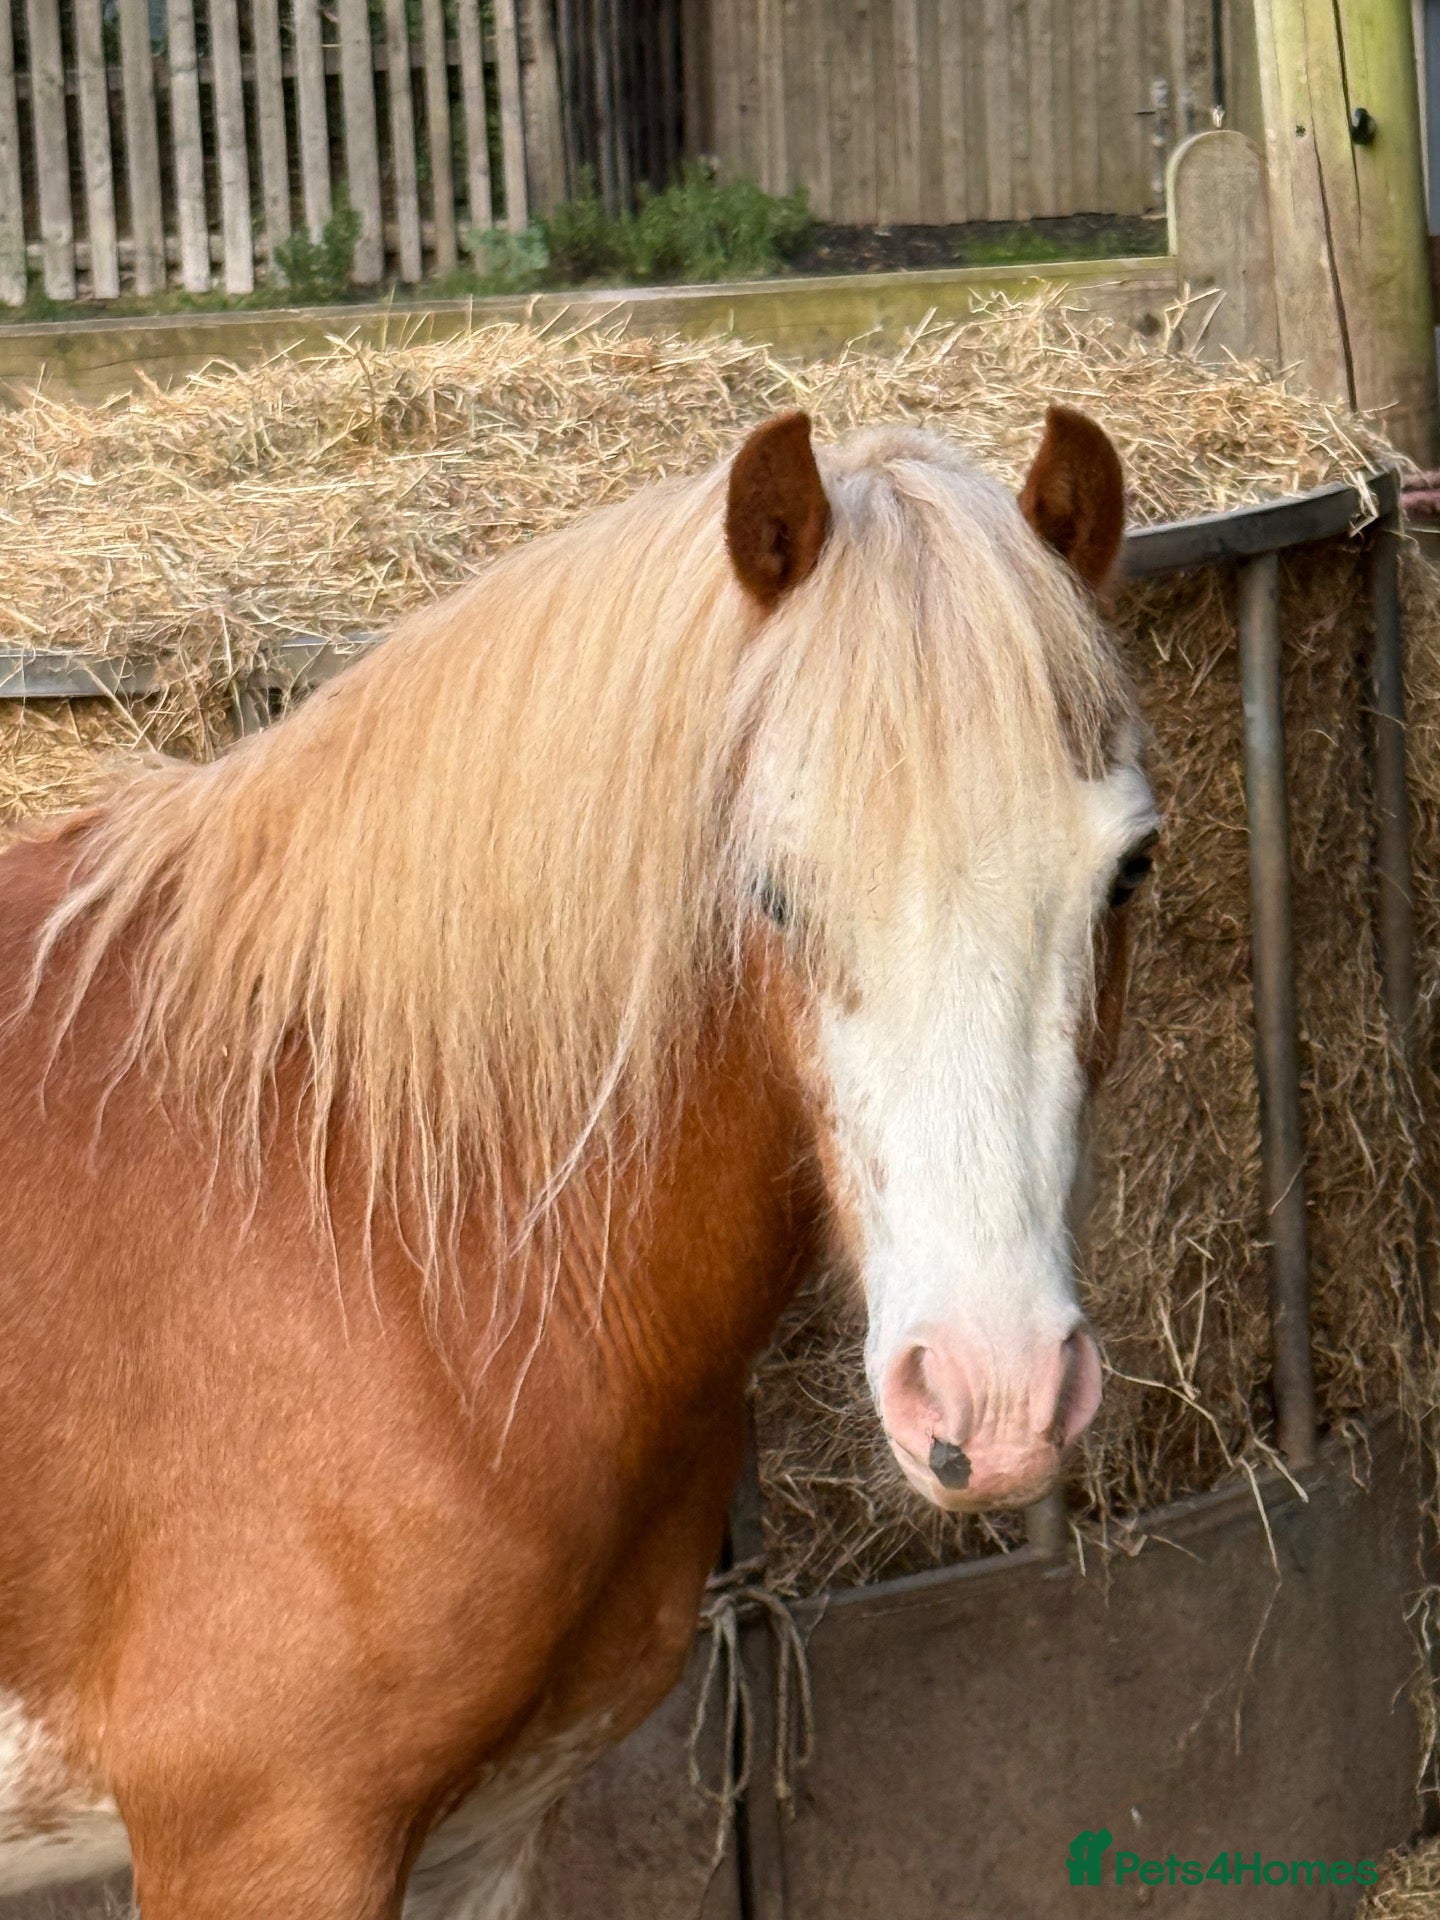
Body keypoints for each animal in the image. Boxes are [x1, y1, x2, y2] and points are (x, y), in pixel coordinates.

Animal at [0, 401, 1156, 1918]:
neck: (372, 1219)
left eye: (1129, 871)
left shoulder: (485, 1833)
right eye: (771, 891)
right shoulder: (263, 1840)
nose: (998, 1395)